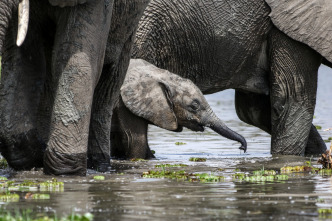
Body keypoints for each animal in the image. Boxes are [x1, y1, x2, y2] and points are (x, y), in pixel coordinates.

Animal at [0, 0, 149, 175]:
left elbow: (75, 60)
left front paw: (65, 172)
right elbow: (24, 57)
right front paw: (36, 161)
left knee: (110, 76)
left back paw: (99, 166)